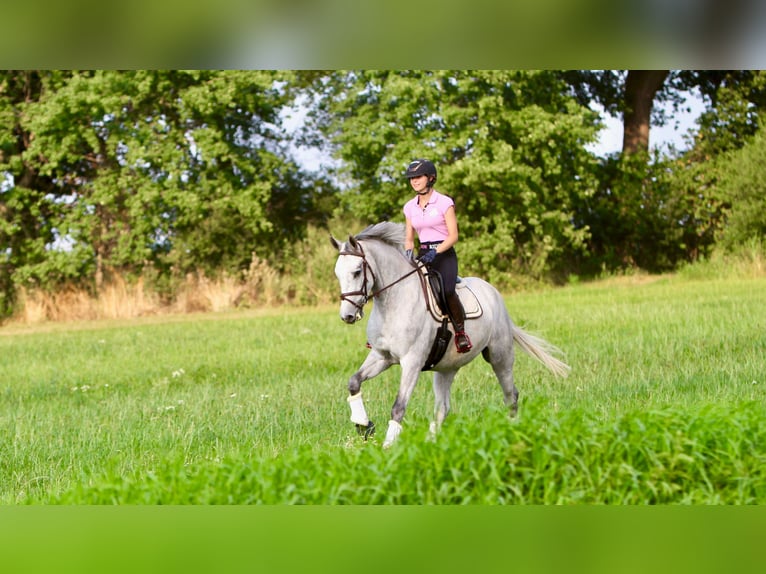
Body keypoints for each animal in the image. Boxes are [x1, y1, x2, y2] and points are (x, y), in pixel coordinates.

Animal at [330, 223, 568, 448]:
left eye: (357, 271)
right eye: (337, 274)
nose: (347, 316)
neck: (393, 302)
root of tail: (493, 292)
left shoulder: (412, 362)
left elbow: (398, 407)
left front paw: (388, 448)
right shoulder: (382, 357)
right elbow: (354, 382)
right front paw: (363, 425)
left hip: (500, 356)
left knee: (511, 395)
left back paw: (513, 432)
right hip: (446, 368)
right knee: (443, 408)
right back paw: (432, 444)